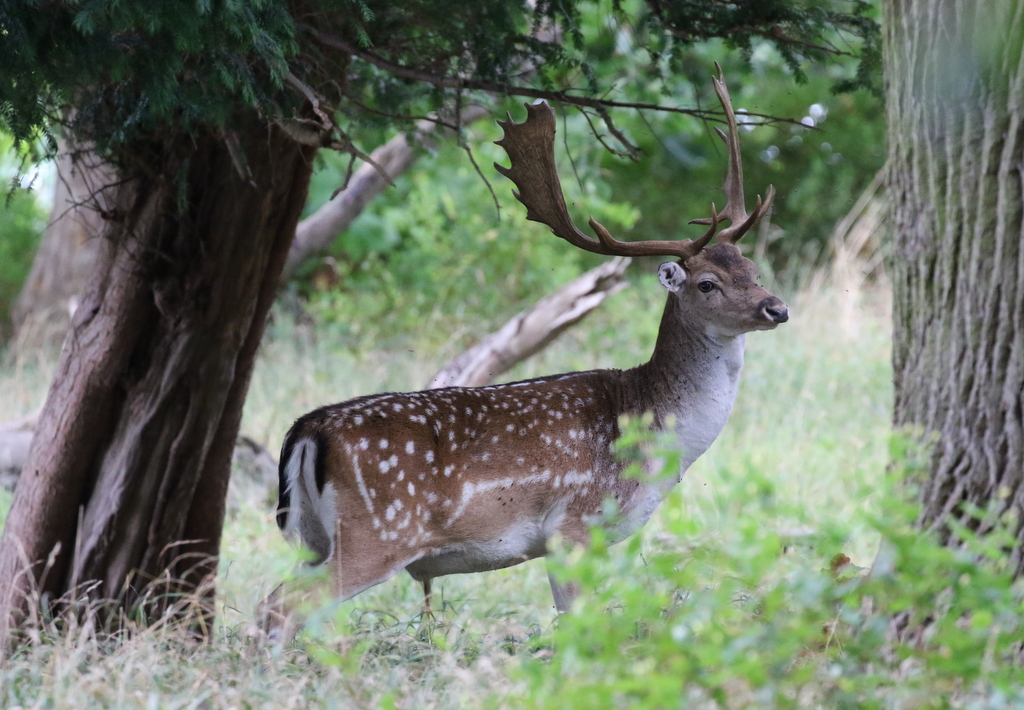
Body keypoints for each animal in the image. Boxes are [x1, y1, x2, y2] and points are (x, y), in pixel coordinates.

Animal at [268, 67, 786, 618]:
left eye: (752, 270)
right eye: (707, 284)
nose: (777, 308)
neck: (653, 440)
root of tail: (307, 430)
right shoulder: (573, 524)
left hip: (314, 539)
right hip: (379, 531)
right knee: (284, 604)